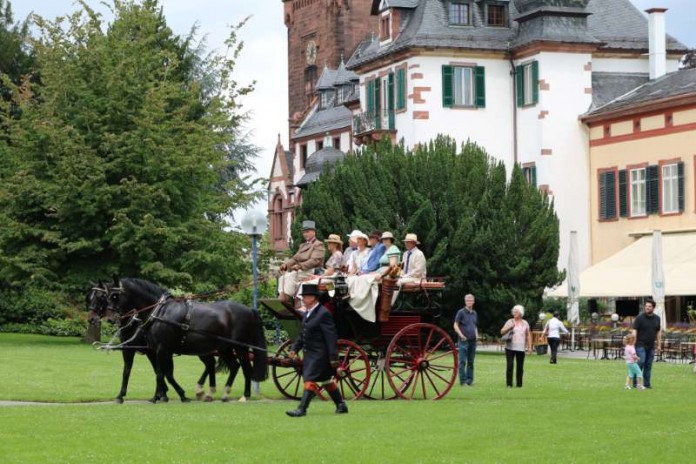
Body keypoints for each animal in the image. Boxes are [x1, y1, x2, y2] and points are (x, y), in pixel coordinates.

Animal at [107, 280, 268, 402]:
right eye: (107, 296)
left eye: (115, 296)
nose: (110, 319)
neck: (160, 312)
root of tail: (249, 310)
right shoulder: (158, 350)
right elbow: (162, 372)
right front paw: (162, 396)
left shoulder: (162, 349)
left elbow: (162, 373)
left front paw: (168, 396)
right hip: (224, 348)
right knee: (233, 366)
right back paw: (222, 394)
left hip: (239, 347)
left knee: (246, 368)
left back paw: (245, 396)